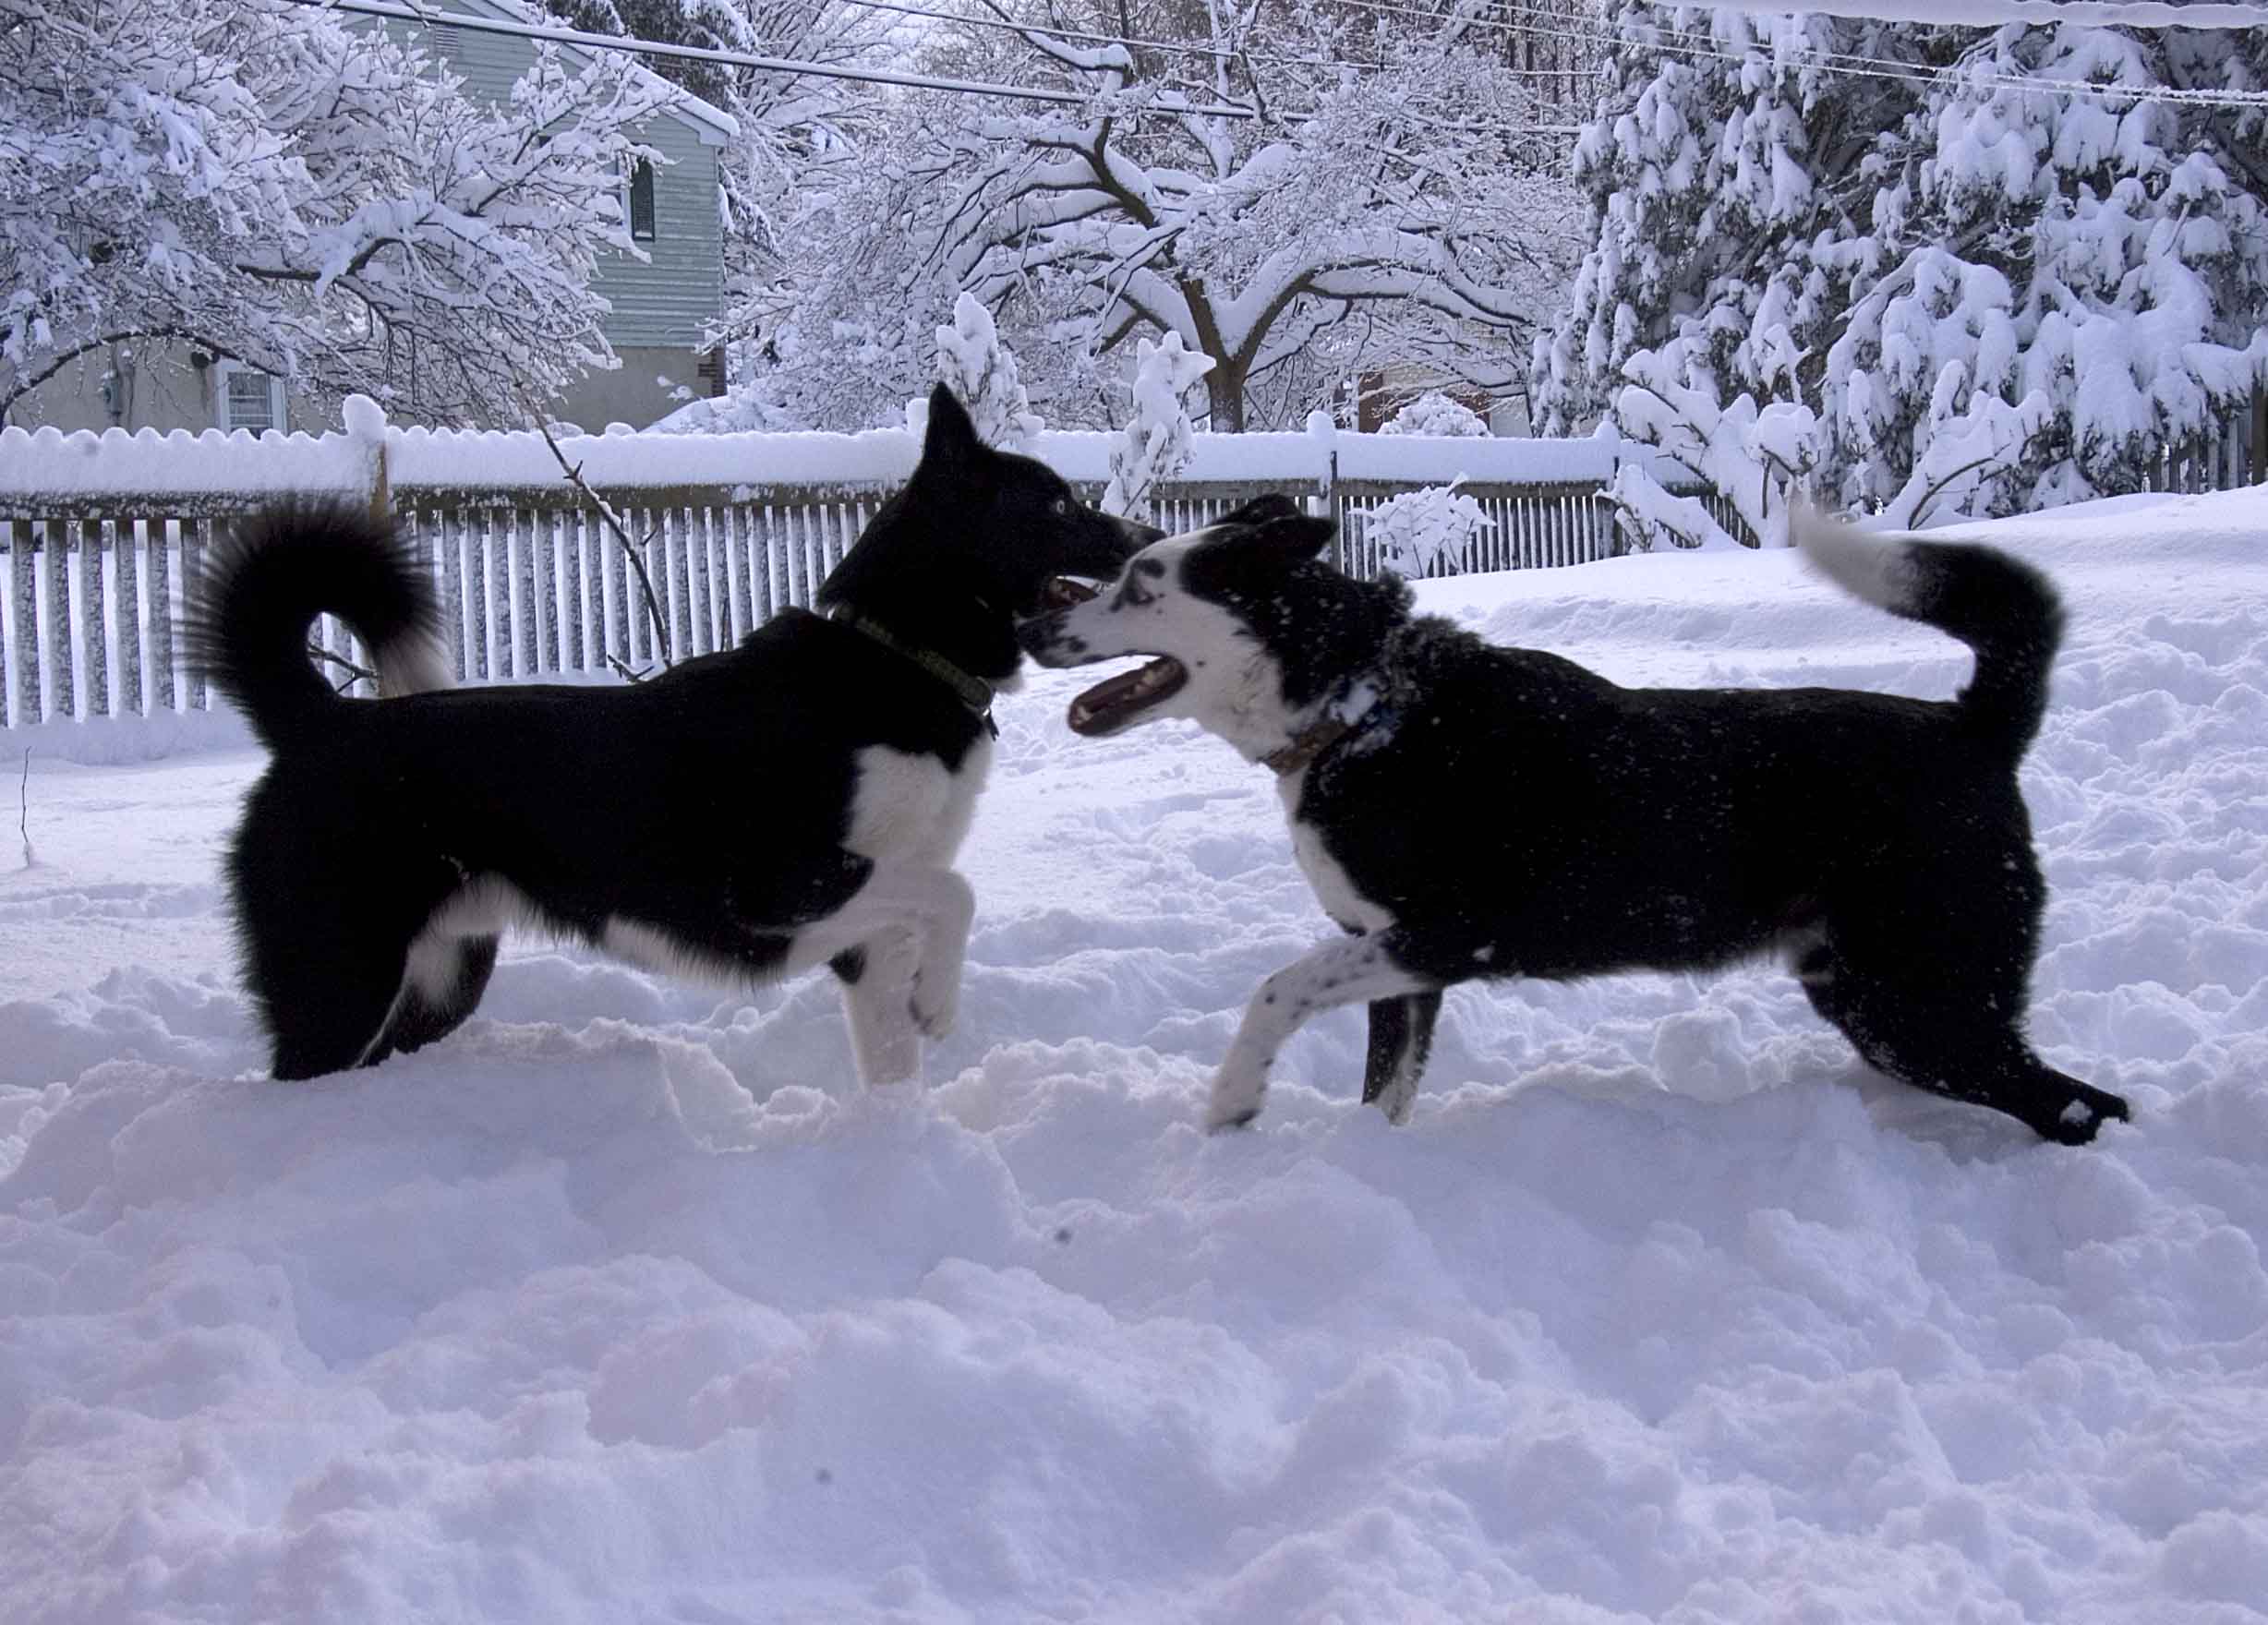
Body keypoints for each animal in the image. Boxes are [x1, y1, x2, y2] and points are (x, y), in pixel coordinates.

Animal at [186, 387, 1161, 1083]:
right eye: (1057, 505)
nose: (1154, 534)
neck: (898, 657)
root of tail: (322, 720)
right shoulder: (780, 886)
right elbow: (954, 893)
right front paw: (943, 1007)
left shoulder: (869, 929)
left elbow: (895, 1050)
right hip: (340, 975)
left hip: (441, 976)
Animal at [1020, 494, 2131, 1142]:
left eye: (1143, 583)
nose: (1031, 623)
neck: (1358, 708)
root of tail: (1972, 727)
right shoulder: (1398, 963)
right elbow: (1385, 1090)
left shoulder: (1446, 933)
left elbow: (1273, 991)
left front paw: (1231, 1103)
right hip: (1871, 997)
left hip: (1917, 1000)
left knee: (2078, 1104)